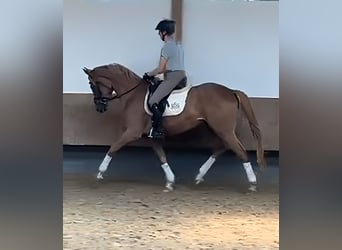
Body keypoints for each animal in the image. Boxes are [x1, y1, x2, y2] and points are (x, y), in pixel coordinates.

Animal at [81, 62, 266, 191]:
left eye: (92, 85)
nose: (99, 107)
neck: (133, 95)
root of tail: (231, 91)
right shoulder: (151, 136)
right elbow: (161, 156)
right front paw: (170, 181)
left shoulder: (132, 132)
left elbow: (113, 148)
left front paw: (99, 173)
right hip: (219, 129)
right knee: (223, 147)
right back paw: (199, 176)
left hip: (223, 129)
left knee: (239, 151)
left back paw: (252, 184)